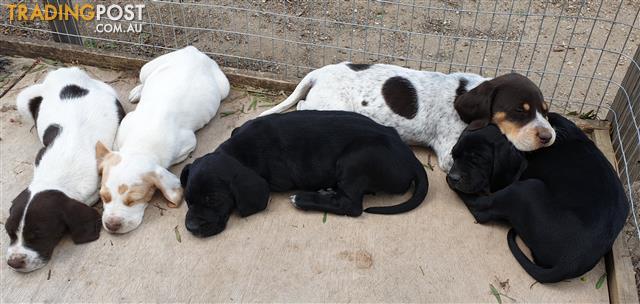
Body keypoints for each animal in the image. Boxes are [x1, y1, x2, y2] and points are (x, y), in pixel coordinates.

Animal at [5, 67, 124, 274]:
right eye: (9, 232)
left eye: (39, 235)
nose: (14, 263)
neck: (56, 175)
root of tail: (66, 71)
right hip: (22, 100)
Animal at [92, 46, 228, 234]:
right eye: (104, 197)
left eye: (134, 200)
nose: (112, 226)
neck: (141, 145)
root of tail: (193, 51)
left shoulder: (188, 144)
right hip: (147, 68)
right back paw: (137, 91)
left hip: (224, 87)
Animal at [182, 111, 428, 238]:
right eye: (188, 200)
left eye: (213, 200)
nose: (191, 228)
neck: (239, 151)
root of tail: (410, 157)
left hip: (355, 161)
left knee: (352, 206)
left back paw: (303, 199)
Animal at [260, 62, 556, 171]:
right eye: (519, 110)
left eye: (545, 110)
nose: (549, 137)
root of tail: (319, 72)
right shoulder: (450, 154)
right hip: (332, 108)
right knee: (302, 108)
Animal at [448, 113, 628, 284]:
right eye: (454, 154)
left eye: (477, 159)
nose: (452, 177)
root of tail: (570, 262)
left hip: (526, 188)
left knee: (481, 210)